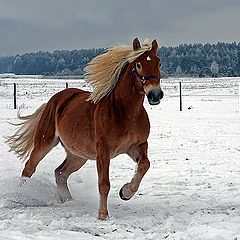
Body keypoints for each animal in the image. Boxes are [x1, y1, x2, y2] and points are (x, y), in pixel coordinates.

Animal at [7, 37, 163, 219]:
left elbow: (145, 165)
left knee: (60, 173)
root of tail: (52, 101)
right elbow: (104, 184)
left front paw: (125, 192)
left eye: (158, 63)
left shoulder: (137, 146)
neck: (125, 112)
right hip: (45, 142)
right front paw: (103, 215)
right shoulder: (103, 150)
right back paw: (21, 195)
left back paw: (68, 201)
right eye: (138, 65)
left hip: (78, 155)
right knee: (29, 168)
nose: (155, 94)